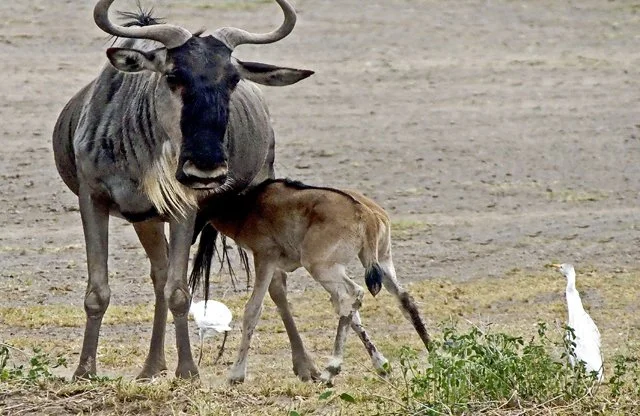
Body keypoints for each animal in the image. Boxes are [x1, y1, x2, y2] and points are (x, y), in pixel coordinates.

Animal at [190, 179, 432, 385]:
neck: (250, 203)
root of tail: (366, 213)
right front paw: (382, 366)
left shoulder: (265, 259)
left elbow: (253, 309)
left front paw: (236, 374)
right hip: (380, 262)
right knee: (401, 299)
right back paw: (435, 353)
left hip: (322, 268)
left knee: (352, 295)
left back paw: (330, 370)